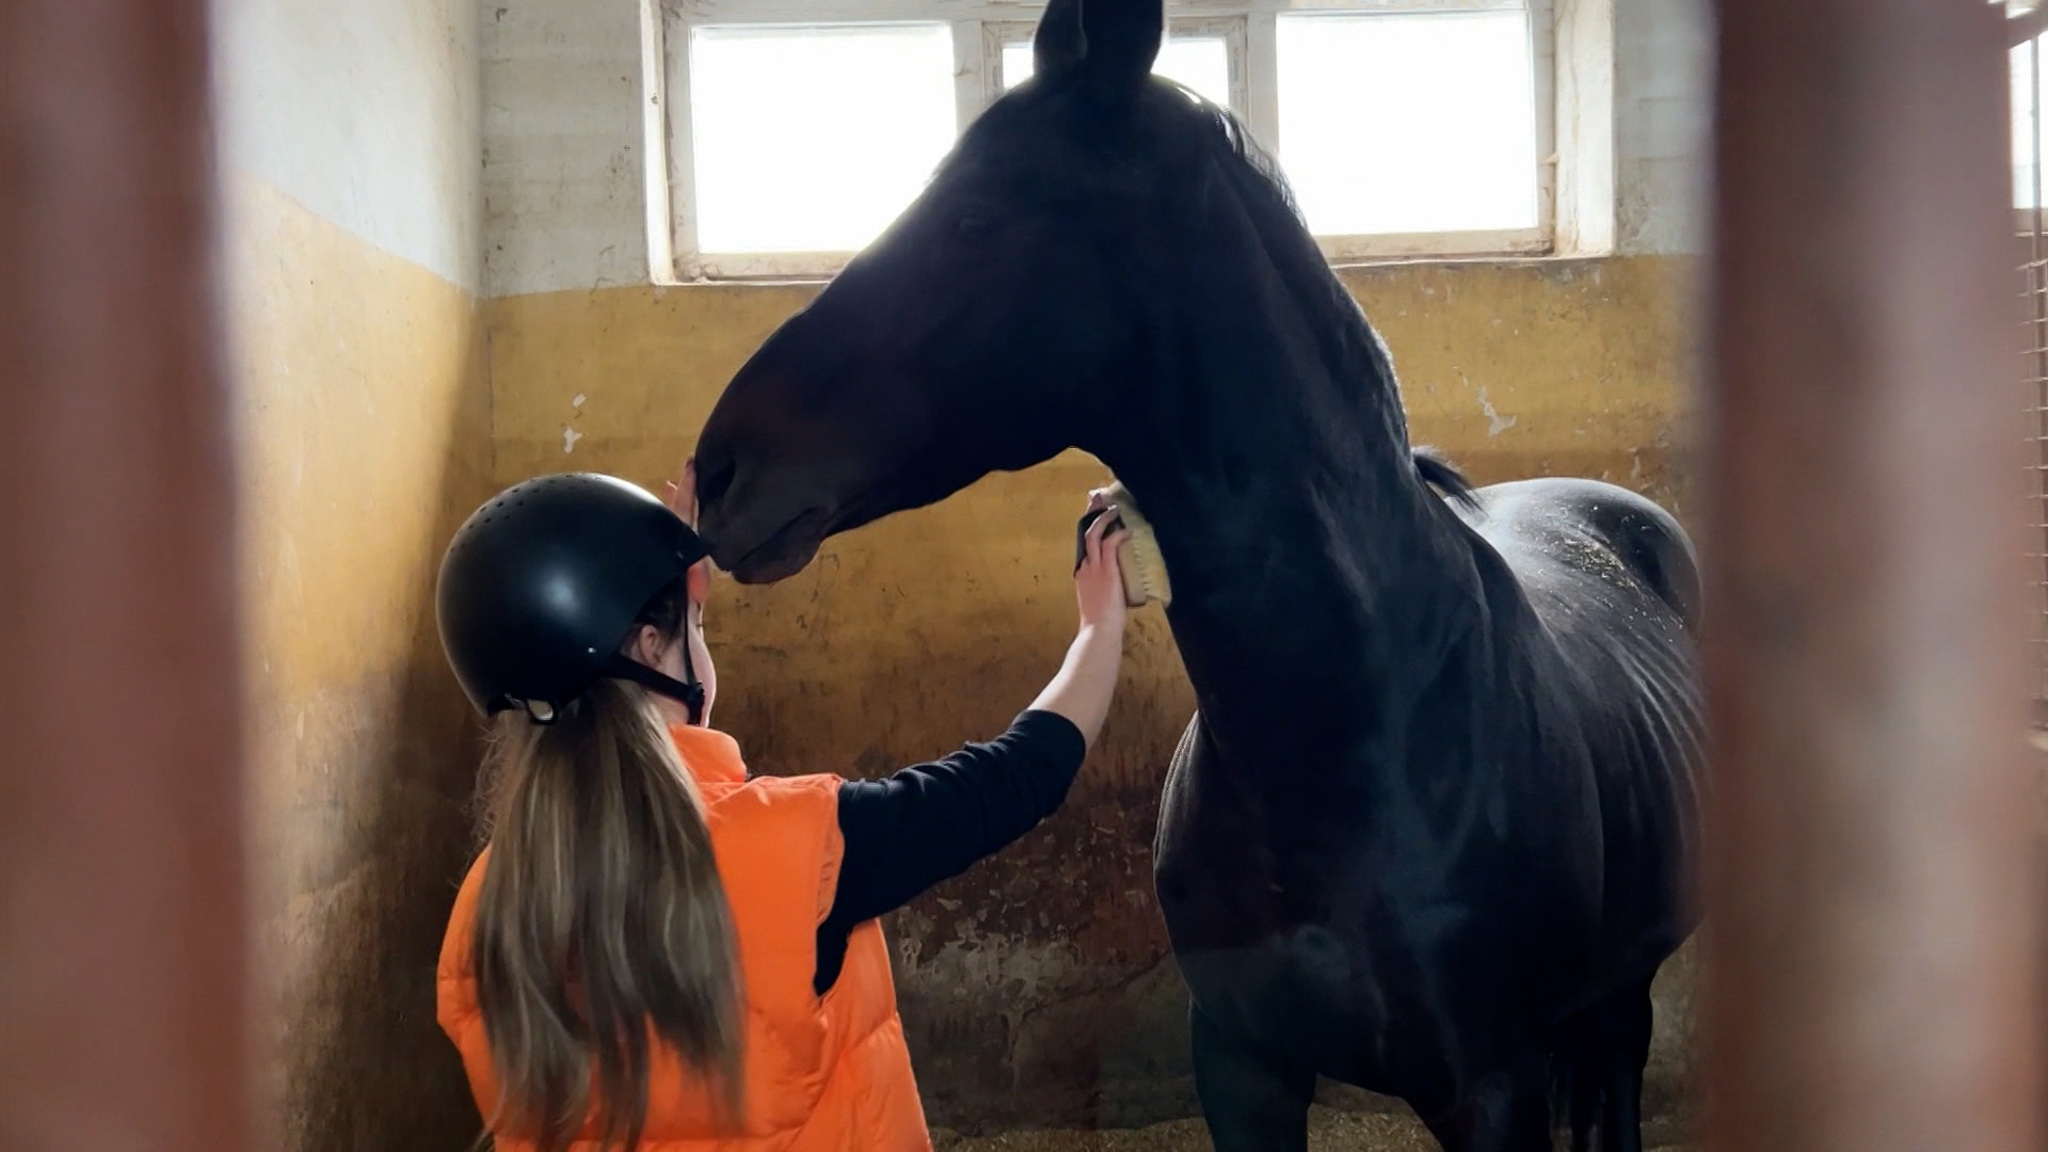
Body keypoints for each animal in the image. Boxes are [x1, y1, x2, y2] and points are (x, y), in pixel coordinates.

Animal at [689, 0, 1703, 1147]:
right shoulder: (1241, 1064)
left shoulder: (1493, 1089)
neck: (1358, 735)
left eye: (973, 218)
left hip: (1622, 995)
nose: (719, 470)